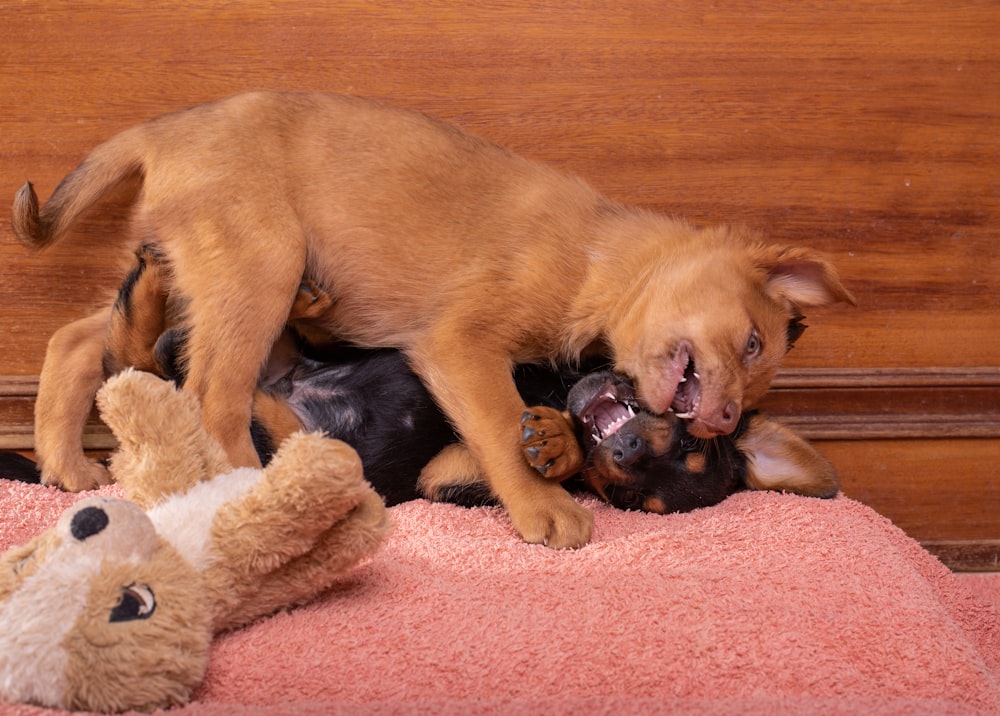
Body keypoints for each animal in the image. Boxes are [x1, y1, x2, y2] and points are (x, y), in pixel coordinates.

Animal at [11, 91, 852, 548]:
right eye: (752, 344)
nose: (722, 420)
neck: (600, 255)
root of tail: (165, 130)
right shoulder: (461, 345)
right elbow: (503, 430)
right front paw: (548, 508)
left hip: (198, 271)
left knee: (85, 339)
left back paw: (67, 463)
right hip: (258, 269)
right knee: (212, 395)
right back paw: (256, 491)